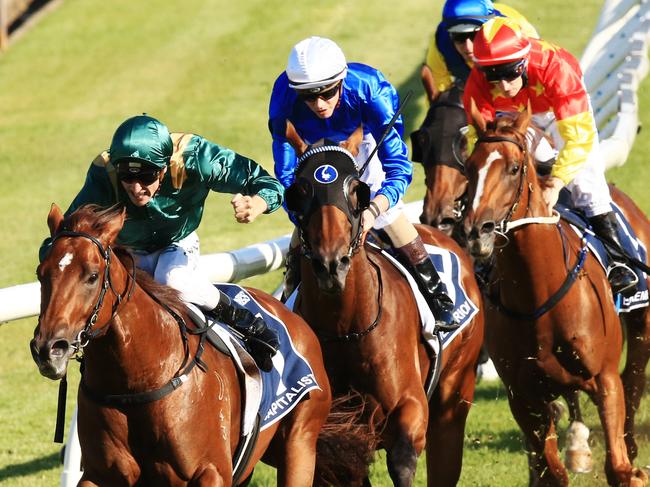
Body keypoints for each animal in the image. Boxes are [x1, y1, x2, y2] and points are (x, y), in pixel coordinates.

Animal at [31, 204, 374, 486]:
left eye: (91, 276)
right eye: (41, 273)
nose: (49, 349)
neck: (137, 380)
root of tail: (293, 315)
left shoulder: (210, 471)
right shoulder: (100, 475)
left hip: (300, 440)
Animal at [280, 127, 484, 487]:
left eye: (354, 189)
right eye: (299, 191)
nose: (331, 264)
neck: (345, 328)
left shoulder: (410, 408)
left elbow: (402, 460)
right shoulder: (332, 432)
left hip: (456, 386)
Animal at [460, 106, 648, 487]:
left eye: (514, 168)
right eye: (470, 166)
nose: (476, 232)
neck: (538, 294)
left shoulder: (604, 379)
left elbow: (621, 469)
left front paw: (631, 467)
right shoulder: (522, 395)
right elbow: (550, 469)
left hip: (642, 327)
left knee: (634, 381)